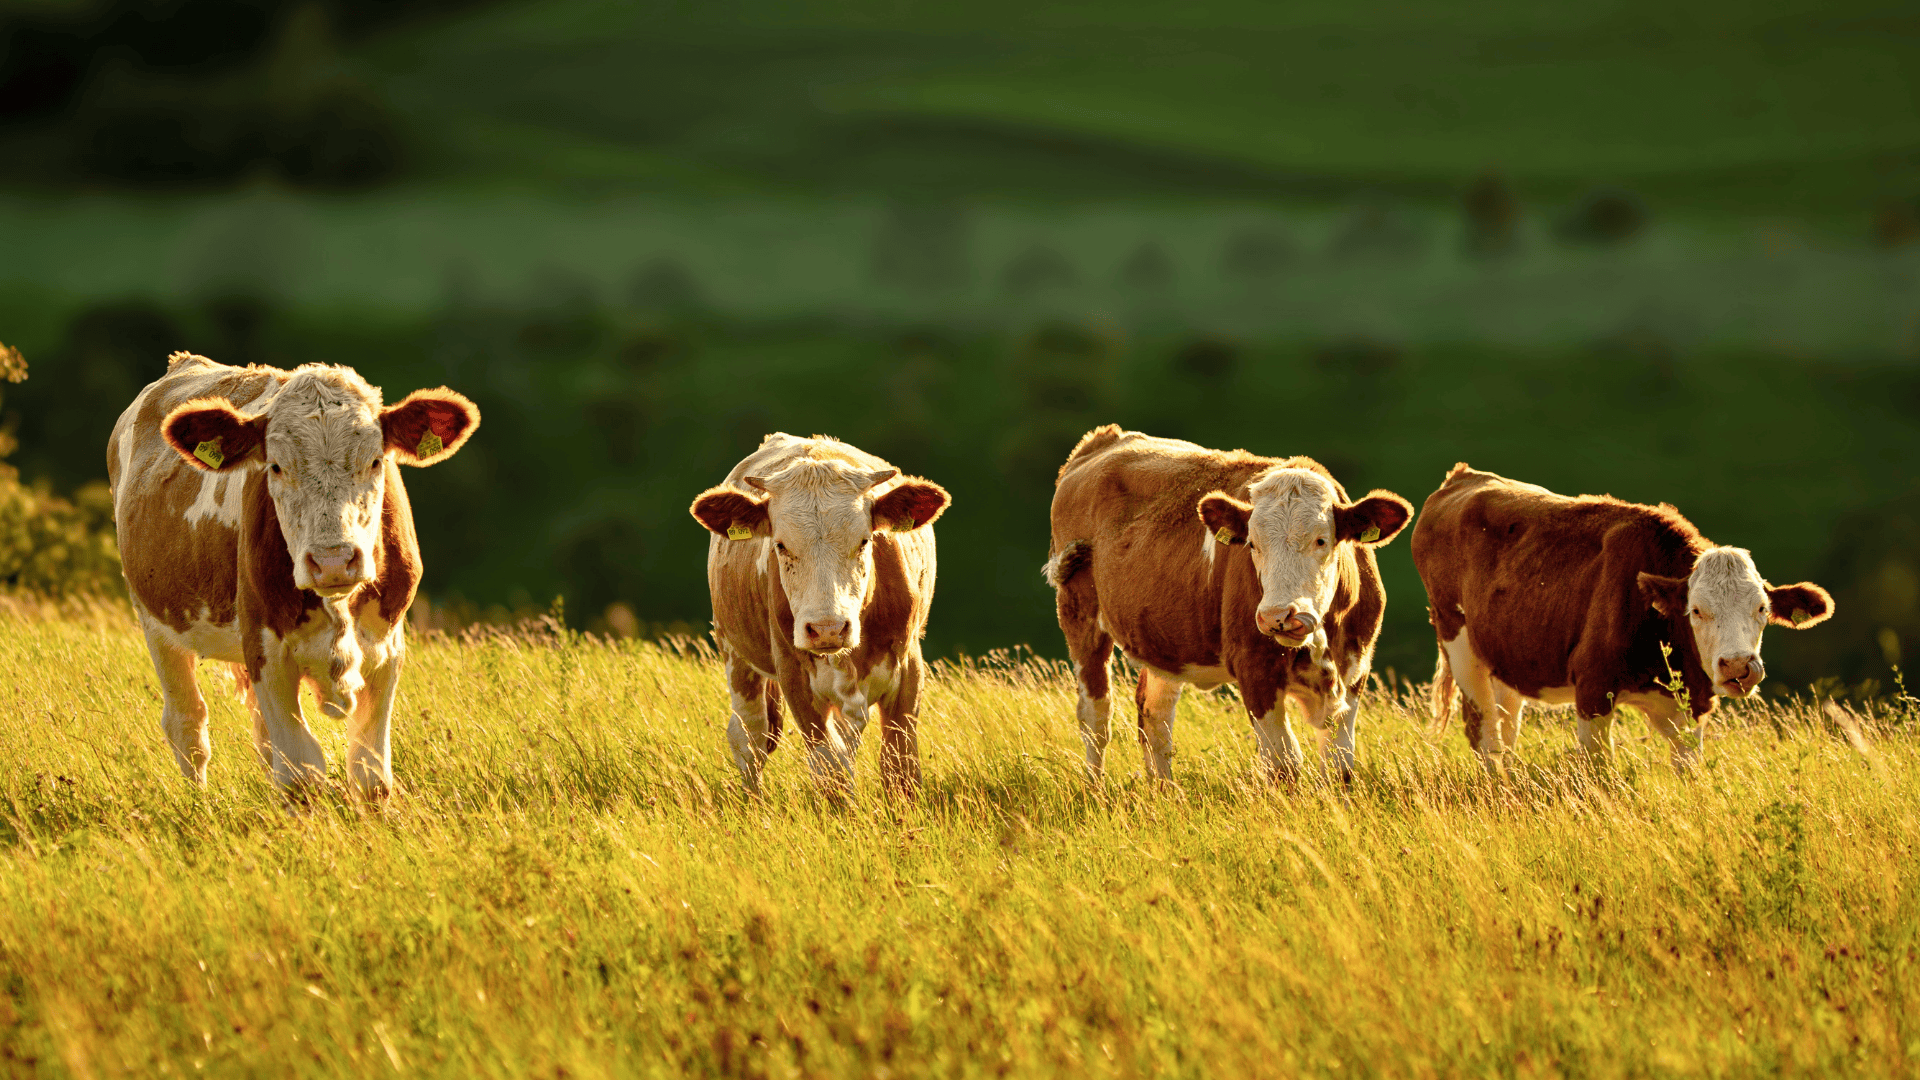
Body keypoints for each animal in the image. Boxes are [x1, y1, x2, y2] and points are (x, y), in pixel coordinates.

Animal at [108, 352, 479, 797]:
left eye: (375, 461)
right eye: (276, 466)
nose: (333, 560)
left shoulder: (387, 648)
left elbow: (370, 772)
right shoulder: (266, 651)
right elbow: (301, 771)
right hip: (156, 623)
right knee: (188, 724)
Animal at [688, 434, 950, 797]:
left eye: (864, 541)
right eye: (781, 545)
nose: (828, 629)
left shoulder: (909, 668)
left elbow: (899, 768)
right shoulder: (795, 679)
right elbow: (830, 770)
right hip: (736, 654)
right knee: (750, 737)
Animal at [1044, 426, 1414, 785]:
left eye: (1322, 540)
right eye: (1252, 544)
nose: (1279, 616)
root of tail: (1103, 439)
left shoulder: (1355, 668)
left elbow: (1339, 767)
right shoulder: (1255, 669)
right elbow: (1283, 764)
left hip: (1165, 640)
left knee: (1154, 716)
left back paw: (1166, 792)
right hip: (1078, 611)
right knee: (1095, 716)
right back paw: (1096, 789)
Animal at [1411, 463, 1834, 771]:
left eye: (1761, 608)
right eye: (1696, 610)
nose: (1737, 666)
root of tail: (1463, 476)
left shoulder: (1691, 709)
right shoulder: (1593, 690)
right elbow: (1599, 773)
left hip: (1507, 654)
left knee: (1506, 723)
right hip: (1459, 643)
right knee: (1484, 731)